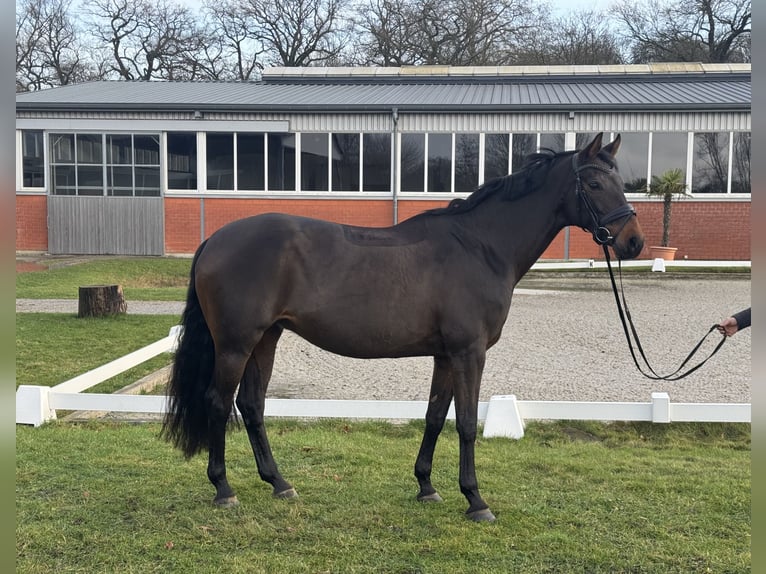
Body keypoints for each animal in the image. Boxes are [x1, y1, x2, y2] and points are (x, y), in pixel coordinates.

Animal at [164, 133, 648, 524]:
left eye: (620, 181)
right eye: (594, 184)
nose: (633, 242)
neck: (481, 246)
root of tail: (215, 240)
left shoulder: (445, 355)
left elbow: (435, 416)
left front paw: (427, 487)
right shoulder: (469, 352)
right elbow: (466, 423)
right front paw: (476, 501)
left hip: (267, 337)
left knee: (252, 405)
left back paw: (279, 483)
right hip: (235, 343)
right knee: (218, 402)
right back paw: (224, 489)